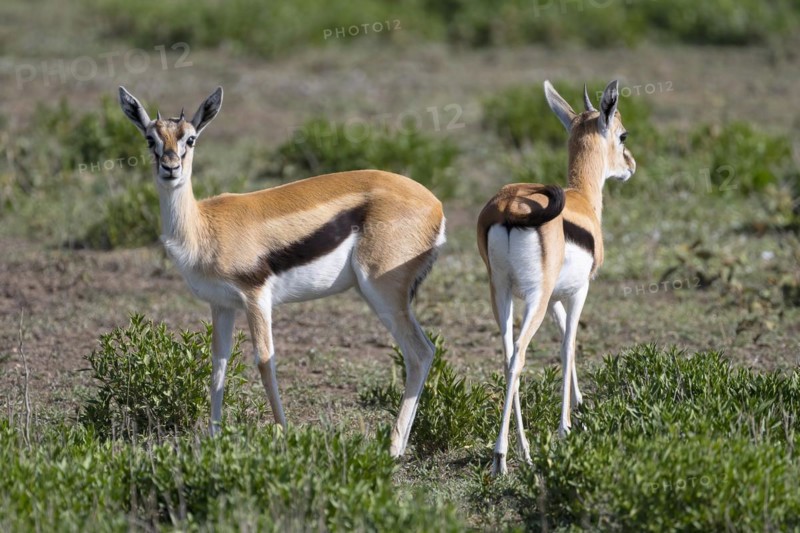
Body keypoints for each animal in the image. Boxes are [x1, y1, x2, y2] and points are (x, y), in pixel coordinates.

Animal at [118, 86, 445, 457]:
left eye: (190, 138)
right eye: (150, 139)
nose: (170, 168)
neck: (204, 226)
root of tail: (435, 205)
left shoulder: (256, 297)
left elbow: (264, 359)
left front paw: (284, 434)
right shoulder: (222, 305)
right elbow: (218, 364)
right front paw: (214, 438)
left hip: (381, 292)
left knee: (419, 353)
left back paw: (392, 447)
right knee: (423, 353)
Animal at [477, 80, 636, 475]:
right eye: (622, 134)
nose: (631, 165)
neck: (582, 201)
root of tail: (508, 207)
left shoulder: (553, 299)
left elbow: (564, 335)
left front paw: (579, 405)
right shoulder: (578, 291)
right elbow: (568, 345)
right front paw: (566, 426)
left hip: (501, 293)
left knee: (507, 355)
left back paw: (523, 450)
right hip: (533, 296)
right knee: (519, 355)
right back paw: (501, 457)